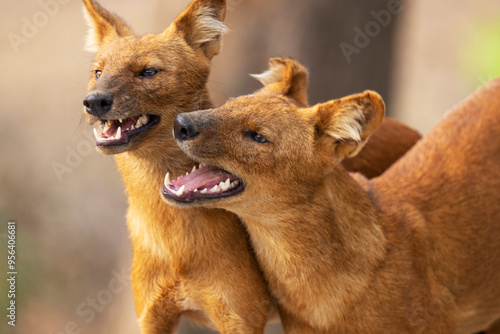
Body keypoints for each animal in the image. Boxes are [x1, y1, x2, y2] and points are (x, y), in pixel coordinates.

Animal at [83, 1, 422, 332]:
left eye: (148, 71)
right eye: (98, 72)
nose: (94, 101)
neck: (173, 236)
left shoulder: (241, 317)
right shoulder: (151, 316)